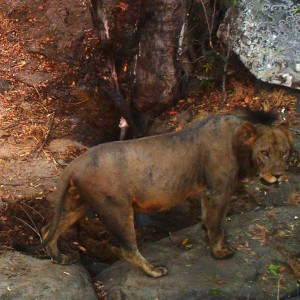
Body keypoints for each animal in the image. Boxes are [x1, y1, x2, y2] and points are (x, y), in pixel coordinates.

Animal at [13, 109, 290, 278]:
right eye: (265, 152)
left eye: (285, 152)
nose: (278, 175)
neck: (239, 141)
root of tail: (73, 164)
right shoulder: (219, 190)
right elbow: (218, 224)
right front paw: (220, 253)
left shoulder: (208, 192)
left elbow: (206, 216)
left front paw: (204, 230)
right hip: (116, 209)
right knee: (127, 249)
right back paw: (154, 271)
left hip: (77, 203)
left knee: (48, 230)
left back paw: (59, 259)